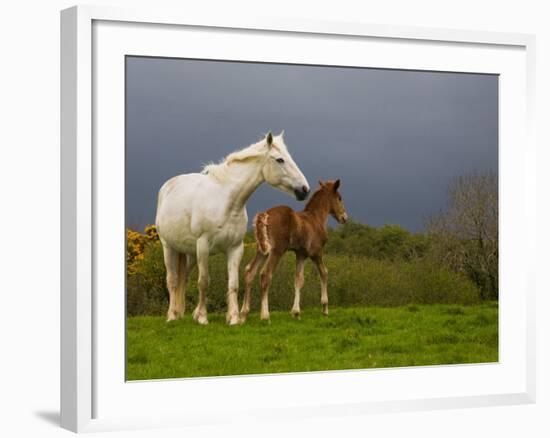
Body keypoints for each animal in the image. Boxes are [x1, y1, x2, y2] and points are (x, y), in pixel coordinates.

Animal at [156, 133, 310, 326]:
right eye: (280, 159)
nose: (304, 190)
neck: (226, 202)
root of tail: (168, 186)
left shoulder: (235, 248)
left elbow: (233, 284)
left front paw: (234, 318)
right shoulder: (203, 246)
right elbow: (203, 281)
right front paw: (203, 318)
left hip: (189, 253)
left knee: (183, 279)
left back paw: (180, 313)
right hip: (169, 247)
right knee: (172, 280)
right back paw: (171, 316)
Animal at [239, 179, 348, 322]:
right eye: (339, 198)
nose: (344, 218)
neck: (315, 218)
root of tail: (264, 215)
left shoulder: (300, 254)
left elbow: (298, 279)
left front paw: (296, 312)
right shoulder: (316, 253)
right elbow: (324, 273)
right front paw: (325, 308)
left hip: (262, 250)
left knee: (249, 272)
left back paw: (243, 314)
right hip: (277, 250)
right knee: (265, 274)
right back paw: (265, 315)